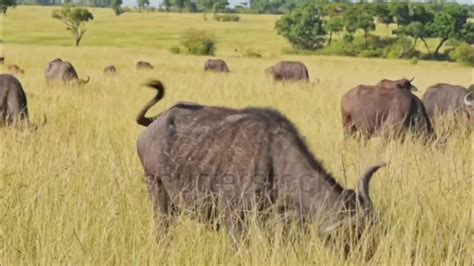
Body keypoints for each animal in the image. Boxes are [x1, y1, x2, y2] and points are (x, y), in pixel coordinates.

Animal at [134, 80, 386, 244]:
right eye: (355, 236)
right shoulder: (235, 222)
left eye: (374, 233)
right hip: (157, 191)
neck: (275, 160)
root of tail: (157, 120)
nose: (370, 254)